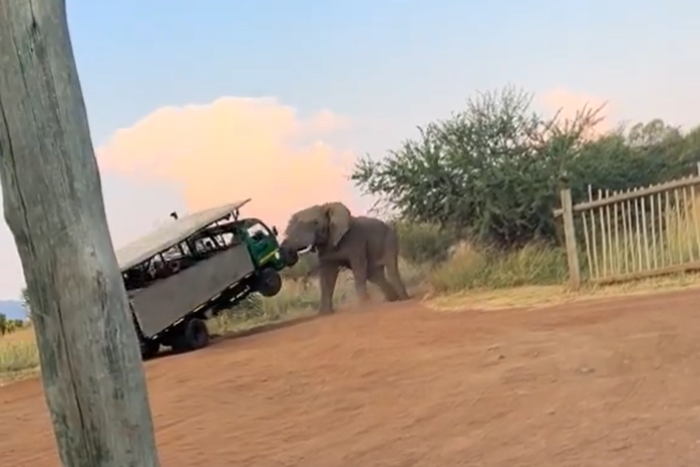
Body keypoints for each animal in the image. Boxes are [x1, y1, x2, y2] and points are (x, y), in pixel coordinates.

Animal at [280, 202, 410, 314]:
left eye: (316, 223)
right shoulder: (326, 250)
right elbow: (327, 276)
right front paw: (325, 313)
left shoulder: (356, 241)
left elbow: (358, 268)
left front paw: (364, 305)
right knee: (374, 274)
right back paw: (392, 300)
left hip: (389, 240)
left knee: (390, 268)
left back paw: (403, 299)